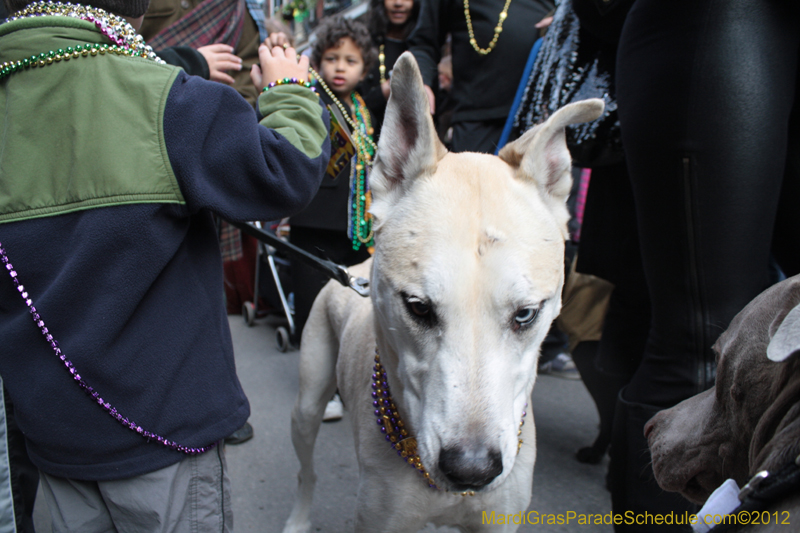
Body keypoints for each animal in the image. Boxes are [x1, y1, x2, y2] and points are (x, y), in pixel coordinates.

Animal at [282, 54, 600, 532]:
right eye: (417, 307)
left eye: (526, 314)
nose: (472, 469)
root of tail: (353, 269)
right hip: (306, 400)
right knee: (305, 469)